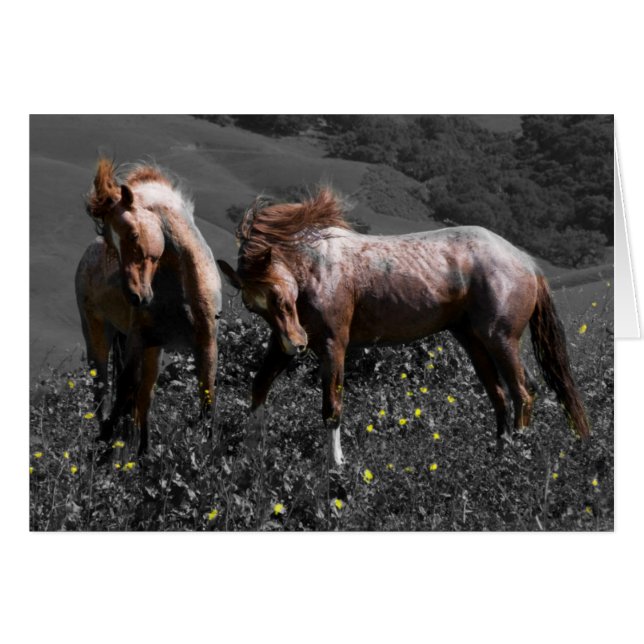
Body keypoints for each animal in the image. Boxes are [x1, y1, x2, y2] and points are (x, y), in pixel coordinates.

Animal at [75, 158, 222, 455]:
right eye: (111, 243)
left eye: (133, 234)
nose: (135, 296)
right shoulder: (136, 340)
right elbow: (124, 389)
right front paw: (105, 446)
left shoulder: (206, 345)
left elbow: (206, 399)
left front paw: (207, 452)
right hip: (98, 335)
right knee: (102, 392)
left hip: (154, 350)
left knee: (145, 397)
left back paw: (143, 453)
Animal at [217, 187, 589, 469]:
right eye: (254, 306)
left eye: (280, 295)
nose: (297, 344)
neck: (318, 267)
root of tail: (525, 261)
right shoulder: (282, 345)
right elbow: (259, 387)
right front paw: (247, 455)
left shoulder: (334, 345)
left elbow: (331, 407)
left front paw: (336, 465)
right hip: (474, 342)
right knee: (500, 396)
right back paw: (500, 456)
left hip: (501, 340)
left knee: (522, 393)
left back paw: (517, 457)